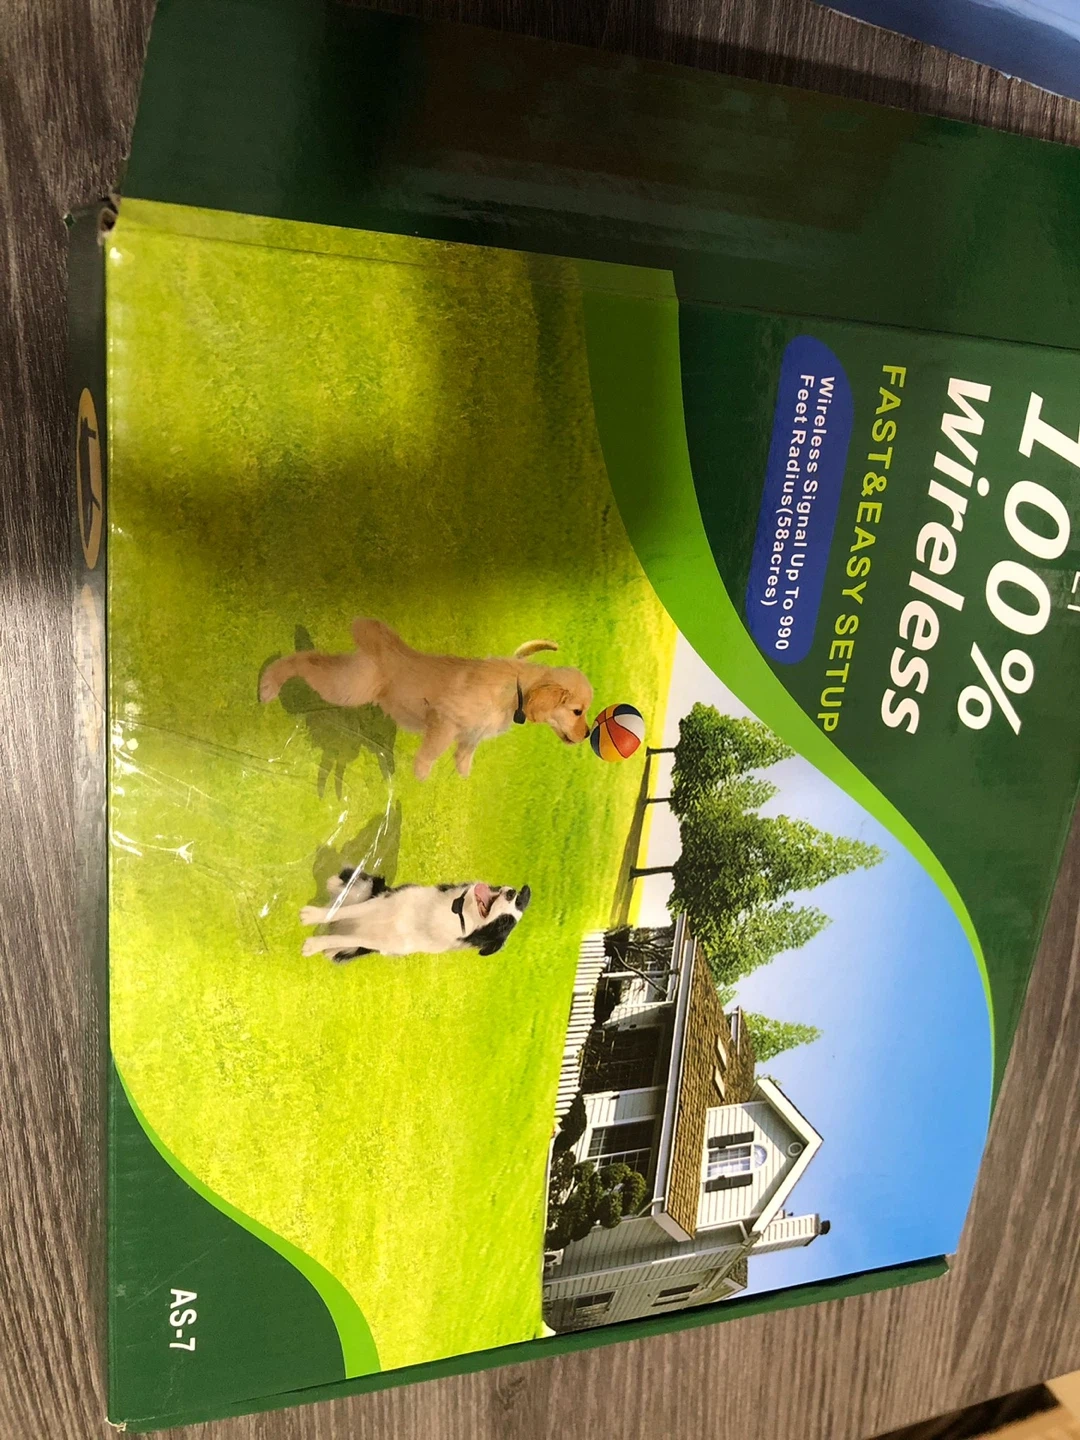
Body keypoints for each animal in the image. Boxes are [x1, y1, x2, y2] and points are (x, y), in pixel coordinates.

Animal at [260, 619, 593, 780]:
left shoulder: (473, 731)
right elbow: (433, 750)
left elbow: (467, 749)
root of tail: (387, 645)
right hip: (349, 687)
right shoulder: (445, 721)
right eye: (578, 711)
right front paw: (421, 773)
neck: (516, 690)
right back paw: (268, 683)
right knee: (304, 662)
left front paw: (462, 770)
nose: (588, 734)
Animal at [300, 868, 532, 960]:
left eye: (504, 924)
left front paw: (313, 945)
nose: (511, 893)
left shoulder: (382, 942)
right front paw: (311, 915)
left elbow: (340, 937)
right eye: (518, 900)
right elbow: (341, 910)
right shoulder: (382, 901)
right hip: (367, 887)